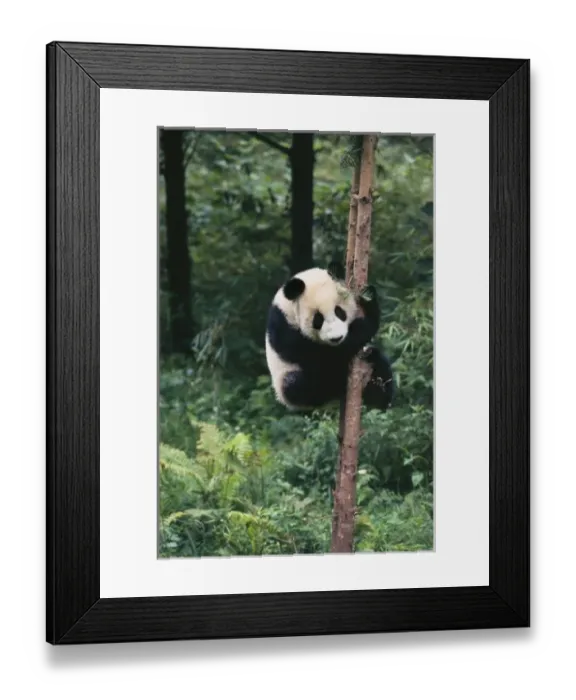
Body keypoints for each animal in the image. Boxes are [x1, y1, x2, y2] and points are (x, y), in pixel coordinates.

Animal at [265, 262, 395, 413]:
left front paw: (368, 296)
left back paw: (379, 394)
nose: (336, 338)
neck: (287, 308)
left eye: (339, 312)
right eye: (318, 320)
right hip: (287, 382)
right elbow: (324, 355)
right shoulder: (285, 331)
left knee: (379, 363)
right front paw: (367, 322)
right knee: (300, 383)